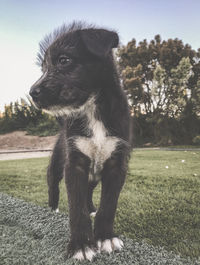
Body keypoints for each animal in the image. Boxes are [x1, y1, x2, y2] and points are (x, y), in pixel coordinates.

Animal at [29, 22, 130, 260]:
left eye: (64, 60)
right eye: (43, 68)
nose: (31, 93)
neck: (92, 109)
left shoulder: (117, 163)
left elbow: (108, 205)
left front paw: (105, 237)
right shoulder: (74, 164)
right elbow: (76, 207)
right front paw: (81, 245)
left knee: (89, 192)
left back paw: (92, 208)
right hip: (56, 164)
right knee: (53, 187)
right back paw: (52, 209)